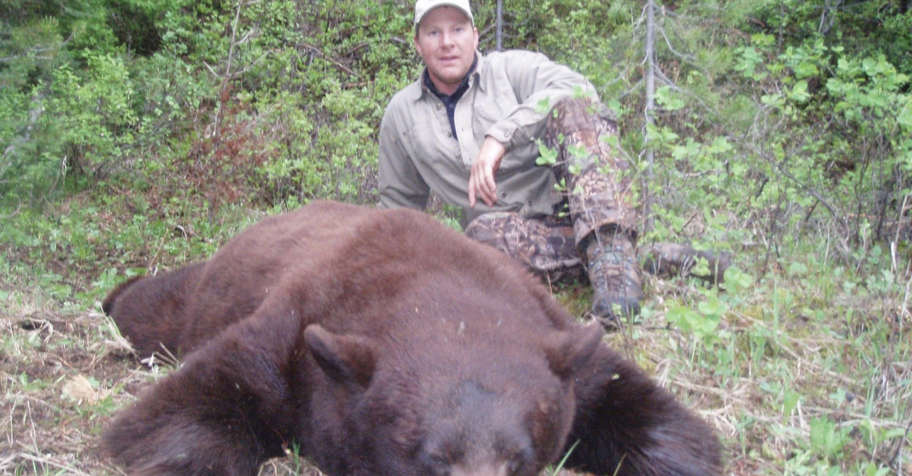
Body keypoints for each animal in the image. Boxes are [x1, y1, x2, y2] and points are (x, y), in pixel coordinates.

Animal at [102, 200, 723, 476]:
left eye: (519, 460)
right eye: (433, 461)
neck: (432, 287)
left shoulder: (559, 335)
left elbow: (652, 417)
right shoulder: (286, 335)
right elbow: (183, 414)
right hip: (197, 301)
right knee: (150, 307)